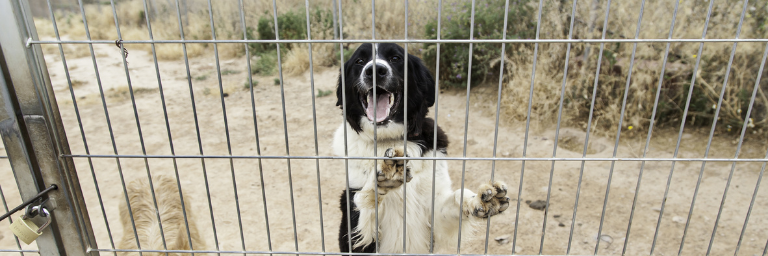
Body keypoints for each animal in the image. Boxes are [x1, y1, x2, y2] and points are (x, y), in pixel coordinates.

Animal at [334, 43, 510, 253]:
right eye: (359, 61)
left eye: (396, 58)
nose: (375, 70)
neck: (388, 139)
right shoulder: (352, 233)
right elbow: (362, 200)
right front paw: (383, 174)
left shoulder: (435, 214)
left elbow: (457, 197)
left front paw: (480, 199)